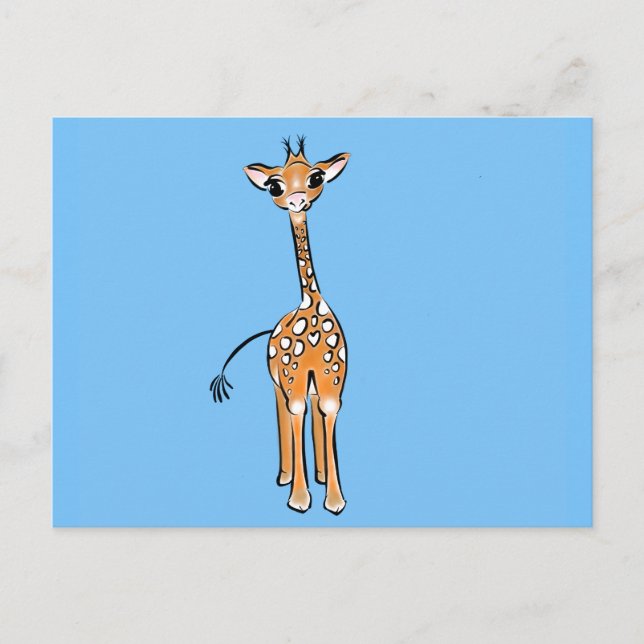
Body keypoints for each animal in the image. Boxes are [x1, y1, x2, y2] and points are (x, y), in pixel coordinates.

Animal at [210, 136, 350, 515]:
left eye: (316, 178)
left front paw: (334, 499)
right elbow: (295, 414)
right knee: (284, 414)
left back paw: (319, 475)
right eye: (275, 186)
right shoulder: (291, 379)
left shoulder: (332, 381)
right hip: (278, 381)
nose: (297, 201)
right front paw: (299, 499)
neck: (311, 306)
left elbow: (327, 415)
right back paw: (286, 476)